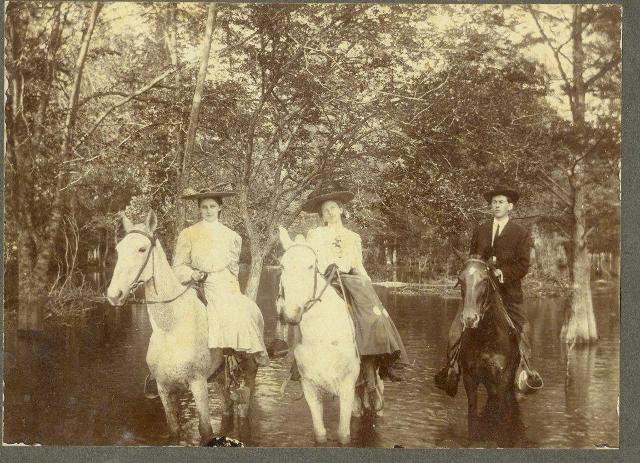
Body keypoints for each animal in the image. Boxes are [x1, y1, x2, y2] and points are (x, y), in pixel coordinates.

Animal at [106, 211, 257, 445]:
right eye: (119, 249)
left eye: (141, 249)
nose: (114, 295)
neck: (171, 329)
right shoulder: (165, 389)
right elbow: (174, 429)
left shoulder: (198, 384)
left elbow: (206, 430)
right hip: (219, 377)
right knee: (227, 406)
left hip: (246, 374)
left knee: (243, 407)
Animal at [277, 227, 362, 445]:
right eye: (282, 265)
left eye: (310, 266)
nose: (291, 314)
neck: (322, 334)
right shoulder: (309, 386)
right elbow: (320, 433)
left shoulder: (347, 386)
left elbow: (343, 435)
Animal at [455, 257, 525, 446]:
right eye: (461, 279)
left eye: (485, 280)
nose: (469, 319)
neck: (486, 337)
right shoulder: (470, 378)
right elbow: (472, 417)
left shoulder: (502, 380)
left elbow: (499, 418)